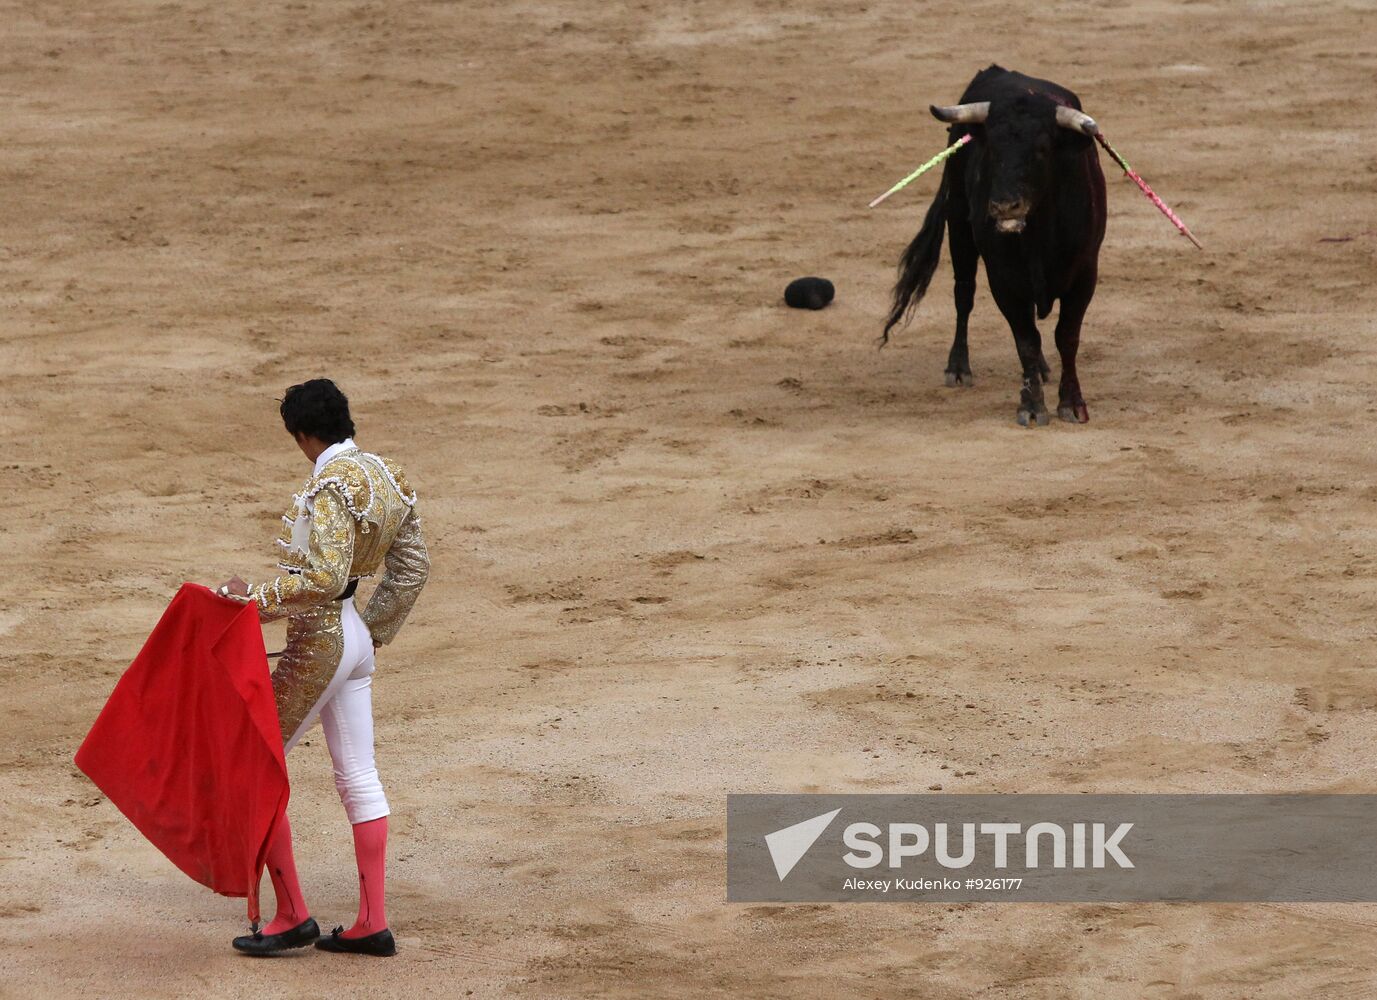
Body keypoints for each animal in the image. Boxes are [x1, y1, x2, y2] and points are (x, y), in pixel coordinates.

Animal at [881, 62, 1107, 424]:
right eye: (993, 149)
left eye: (1042, 148)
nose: (1004, 206)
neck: (1038, 235)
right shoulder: (1004, 279)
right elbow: (1025, 338)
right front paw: (1032, 407)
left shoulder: (1085, 274)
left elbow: (1066, 335)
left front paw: (1072, 404)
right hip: (958, 225)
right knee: (964, 294)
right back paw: (959, 367)